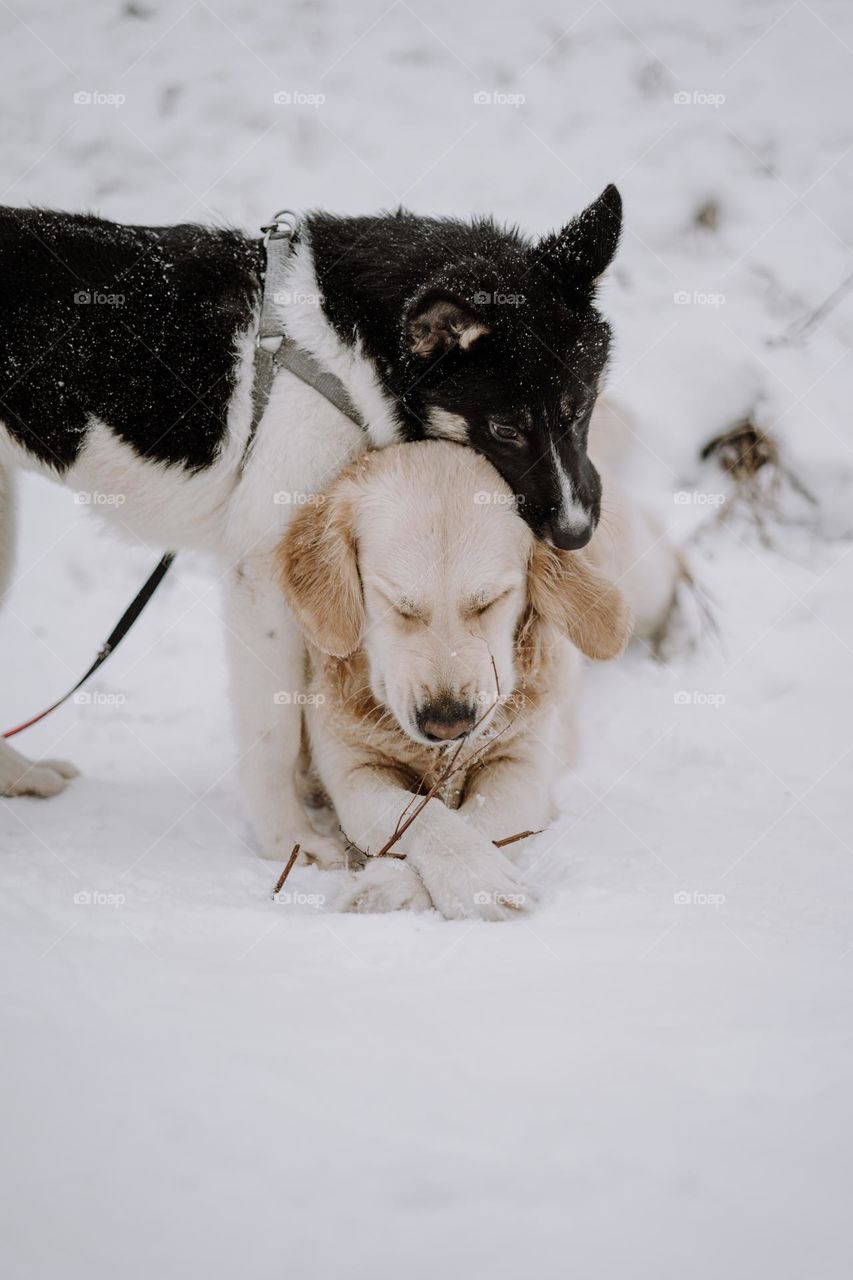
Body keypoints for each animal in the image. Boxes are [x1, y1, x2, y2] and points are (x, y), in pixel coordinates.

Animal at [0, 183, 617, 860]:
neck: (344, 357)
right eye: (506, 428)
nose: (577, 531)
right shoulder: (262, 581)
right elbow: (273, 731)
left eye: (579, 409)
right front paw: (287, 840)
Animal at [279, 435, 676, 916]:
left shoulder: (523, 763)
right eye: (399, 604)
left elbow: (482, 819)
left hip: (639, 583)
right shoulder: (352, 768)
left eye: (491, 601)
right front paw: (391, 885)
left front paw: (475, 882)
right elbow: (420, 816)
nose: (448, 722)